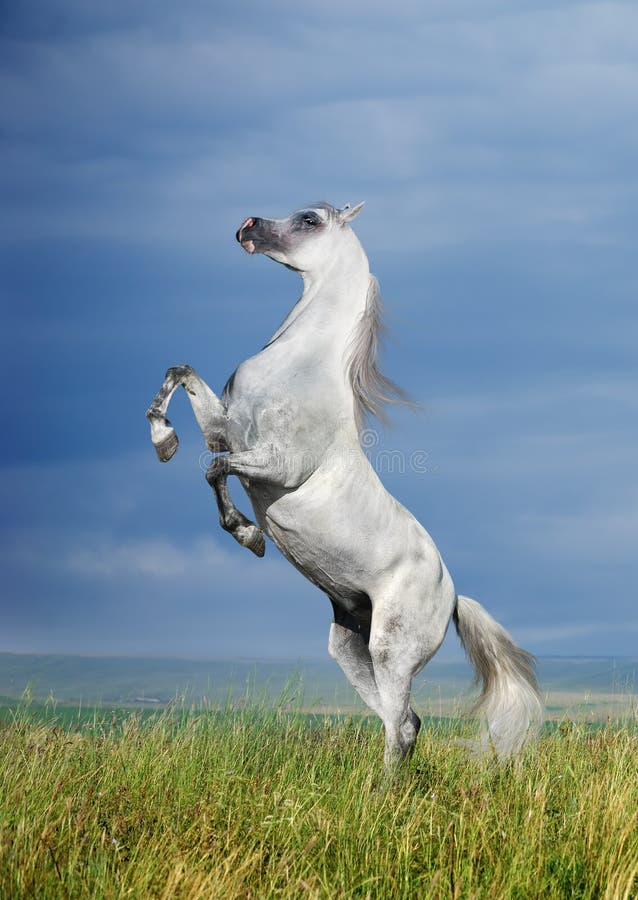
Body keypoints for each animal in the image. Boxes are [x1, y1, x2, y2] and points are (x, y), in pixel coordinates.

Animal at [146, 201, 544, 771]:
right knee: (405, 722)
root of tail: (451, 597)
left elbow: (214, 469)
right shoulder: (227, 429)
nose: (247, 227)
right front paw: (164, 440)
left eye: (310, 219)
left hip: (391, 652)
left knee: (401, 726)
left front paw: (249, 535)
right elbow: (181, 376)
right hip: (351, 648)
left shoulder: (275, 466)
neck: (298, 366)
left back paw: (382, 792)